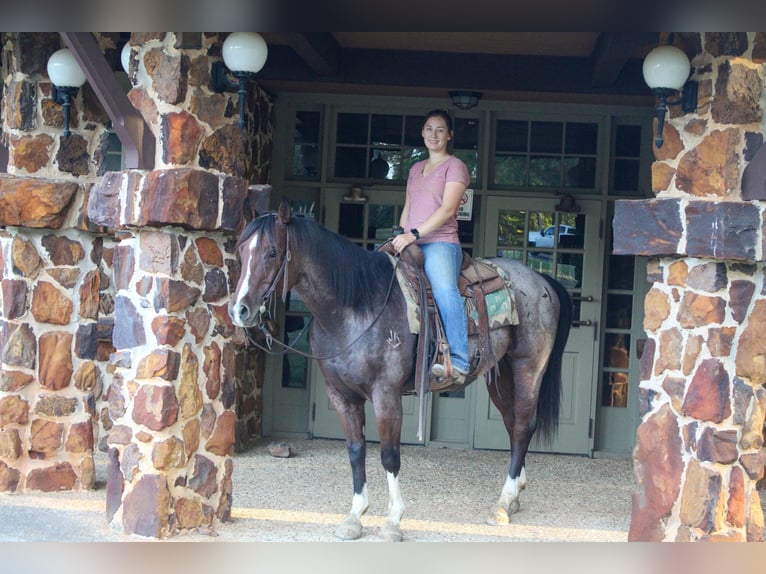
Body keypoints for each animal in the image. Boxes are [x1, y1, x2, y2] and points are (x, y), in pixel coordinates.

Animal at [231, 200, 572, 544]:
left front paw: (393, 521)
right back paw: (514, 495)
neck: (355, 306)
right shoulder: (340, 395)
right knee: (513, 425)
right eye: (242, 249)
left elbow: (389, 454)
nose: (239, 310)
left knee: (523, 426)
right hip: (501, 376)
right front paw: (354, 517)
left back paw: (502, 504)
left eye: (272, 252)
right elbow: (355, 451)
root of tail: (542, 280)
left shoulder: (386, 393)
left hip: (527, 367)